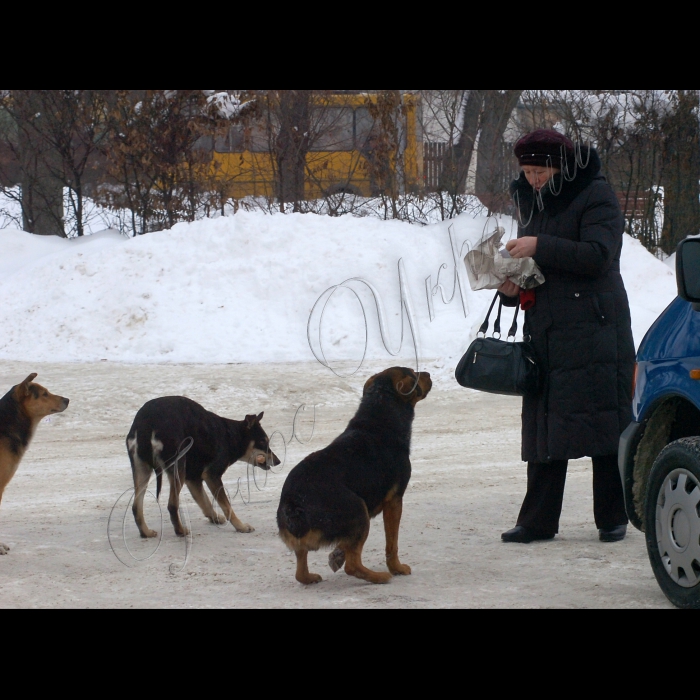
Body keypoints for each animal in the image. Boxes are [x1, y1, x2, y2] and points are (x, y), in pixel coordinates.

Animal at [127, 396, 280, 540]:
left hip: (142, 470)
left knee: (136, 507)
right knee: (172, 505)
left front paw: (215, 518)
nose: (278, 461)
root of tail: (147, 424)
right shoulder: (212, 475)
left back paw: (146, 532)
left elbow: (204, 501)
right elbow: (226, 506)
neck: (231, 436)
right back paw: (180, 531)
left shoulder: (193, 479)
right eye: (263, 441)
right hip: (177, 469)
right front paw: (241, 527)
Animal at [278, 366, 432, 584]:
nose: (428, 373)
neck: (378, 419)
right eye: (413, 372)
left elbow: (346, 545)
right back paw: (379, 576)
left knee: (300, 571)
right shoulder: (394, 501)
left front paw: (337, 554)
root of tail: (293, 502)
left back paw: (311, 576)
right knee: (352, 566)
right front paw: (397, 568)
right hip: (359, 510)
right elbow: (391, 543)